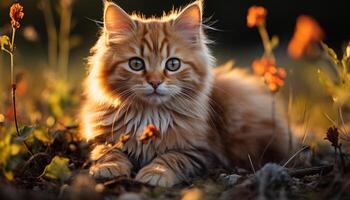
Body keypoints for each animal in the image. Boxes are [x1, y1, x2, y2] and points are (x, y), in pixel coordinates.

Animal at [80, 0, 290, 188]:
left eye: (173, 64)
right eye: (136, 64)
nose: (155, 82)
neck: (151, 115)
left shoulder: (202, 151)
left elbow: (172, 157)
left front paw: (155, 173)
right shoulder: (100, 138)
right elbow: (107, 151)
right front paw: (109, 167)